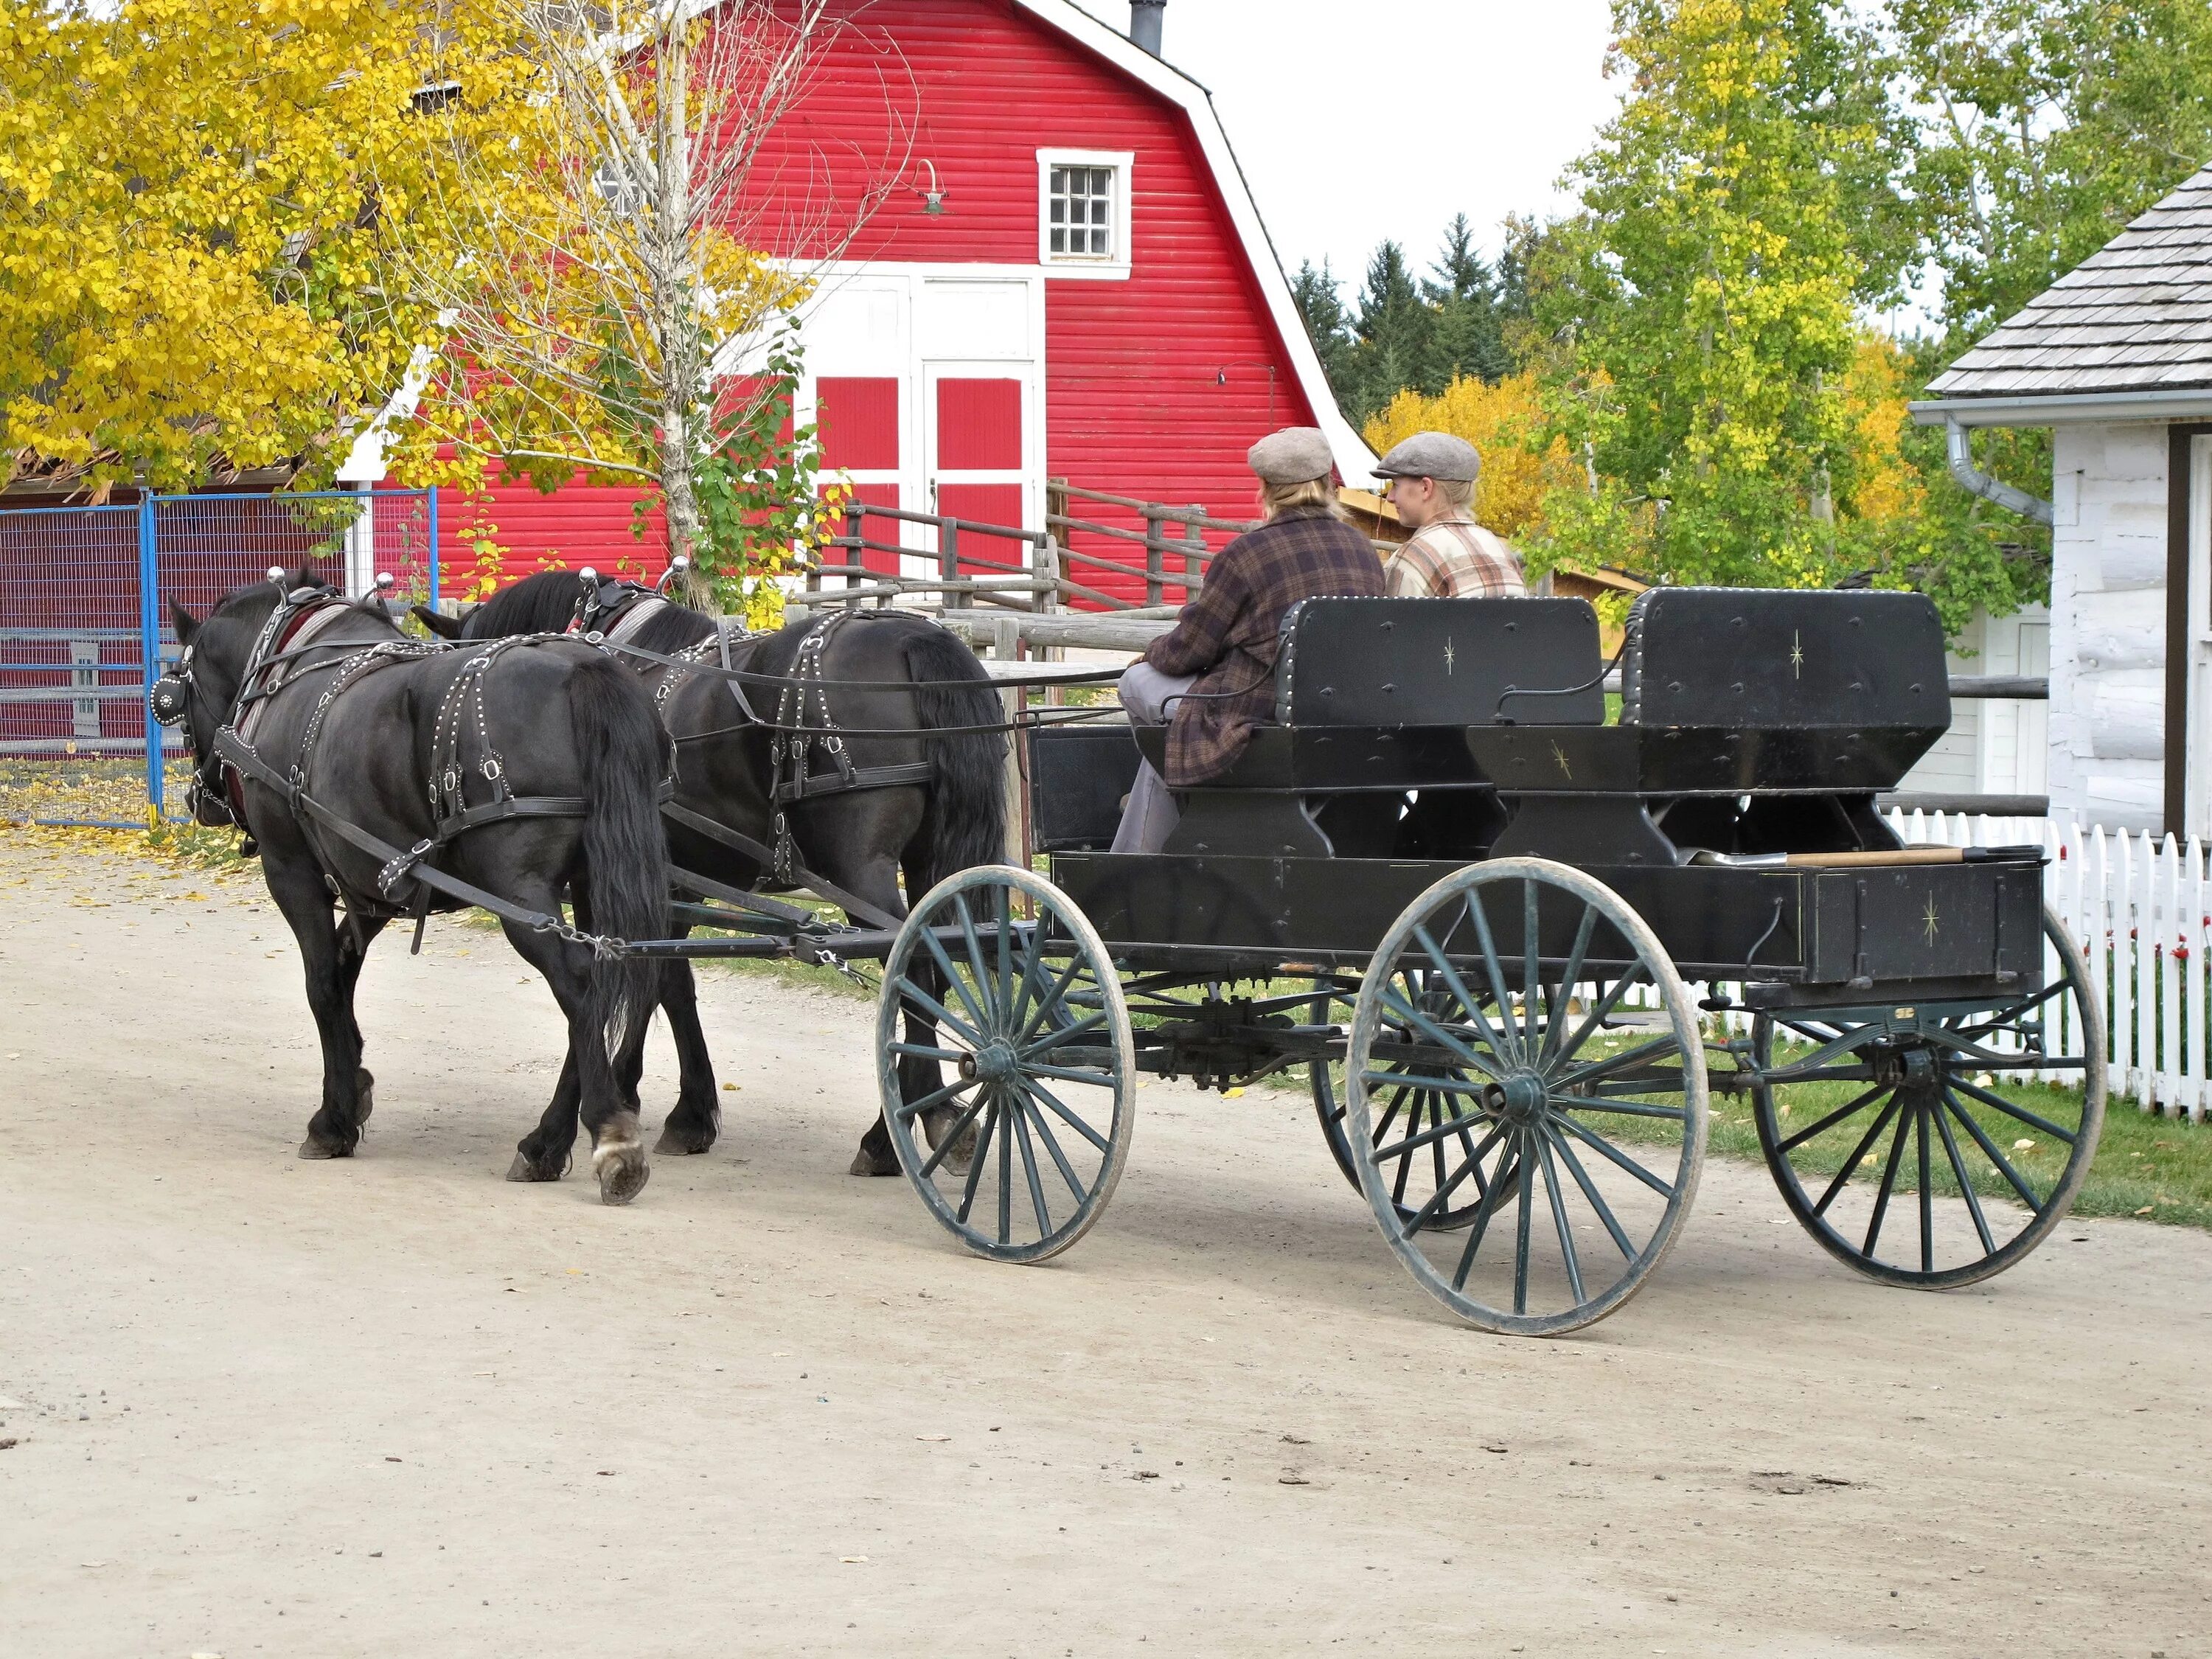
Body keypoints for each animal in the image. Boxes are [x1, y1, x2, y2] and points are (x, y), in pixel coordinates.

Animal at [168, 580, 668, 1203]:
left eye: (176, 691)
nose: (199, 798)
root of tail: (584, 668)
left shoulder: (293, 872)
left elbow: (322, 985)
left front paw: (332, 1119)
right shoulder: (376, 876)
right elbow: (344, 969)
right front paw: (355, 1084)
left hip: (521, 891)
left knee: (578, 985)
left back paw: (610, 1138)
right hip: (596, 877)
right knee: (610, 977)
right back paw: (546, 1143)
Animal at [416, 571, 1004, 1186]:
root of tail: (914, 637)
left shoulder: (609, 883)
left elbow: (634, 977)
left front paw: (599, 1116)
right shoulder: (675, 883)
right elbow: (667, 981)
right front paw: (673, 1107)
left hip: (860, 867)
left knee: (912, 968)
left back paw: (888, 1138)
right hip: (927, 861)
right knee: (935, 966)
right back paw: (928, 1118)